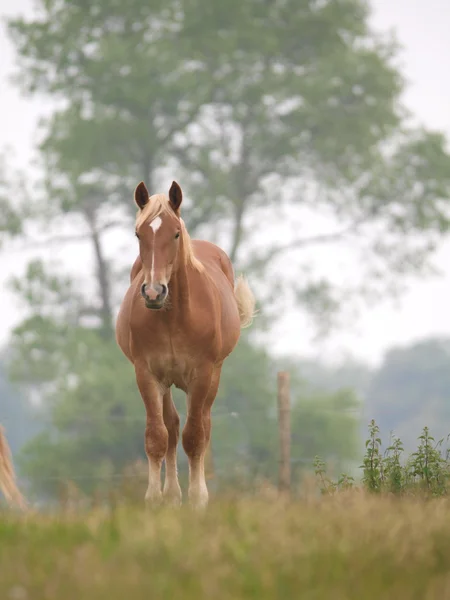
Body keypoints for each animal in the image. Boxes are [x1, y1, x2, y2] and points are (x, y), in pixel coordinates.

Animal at [115, 180, 256, 508]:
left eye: (176, 233)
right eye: (139, 233)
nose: (154, 292)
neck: (173, 317)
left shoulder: (202, 374)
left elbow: (195, 436)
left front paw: (198, 498)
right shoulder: (148, 374)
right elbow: (158, 435)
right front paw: (156, 498)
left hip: (213, 375)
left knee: (202, 425)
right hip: (167, 382)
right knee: (172, 424)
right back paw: (171, 493)